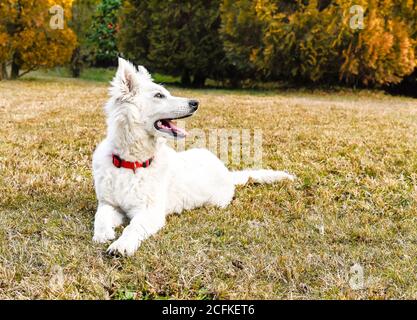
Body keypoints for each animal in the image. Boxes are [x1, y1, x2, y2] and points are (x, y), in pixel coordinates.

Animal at [92, 57, 292, 256]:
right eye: (159, 96)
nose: (196, 103)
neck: (132, 162)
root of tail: (227, 172)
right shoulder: (109, 204)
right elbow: (100, 216)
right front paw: (102, 234)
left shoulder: (150, 212)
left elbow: (132, 227)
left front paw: (121, 245)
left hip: (216, 200)